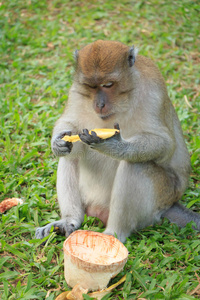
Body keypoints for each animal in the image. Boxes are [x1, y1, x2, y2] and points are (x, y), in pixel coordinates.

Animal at [36, 39, 200, 243]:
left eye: (108, 84)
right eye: (91, 86)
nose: (99, 104)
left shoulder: (153, 91)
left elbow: (163, 144)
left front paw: (113, 146)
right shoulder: (76, 90)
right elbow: (69, 122)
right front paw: (57, 142)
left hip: (161, 198)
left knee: (136, 165)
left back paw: (113, 234)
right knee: (72, 155)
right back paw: (70, 220)